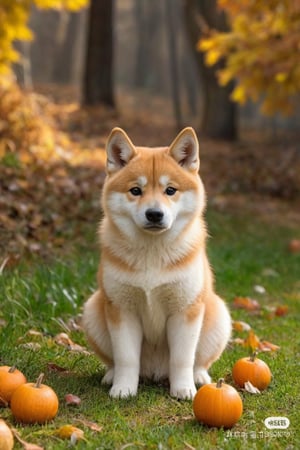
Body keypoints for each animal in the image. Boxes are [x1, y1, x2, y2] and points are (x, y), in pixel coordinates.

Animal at [82, 128, 232, 400]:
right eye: (135, 190)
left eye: (170, 190)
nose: (154, 214)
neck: (152, 254)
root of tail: (154, 373)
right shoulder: (122, 309)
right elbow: (126, 358)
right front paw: (123, 389)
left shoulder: (185, 310)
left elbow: (182, 359)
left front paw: (183, 389)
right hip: (93, 309)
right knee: (113, 361)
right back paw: (110, 376)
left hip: (218, 314)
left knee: (199, 362)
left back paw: (199, 377)